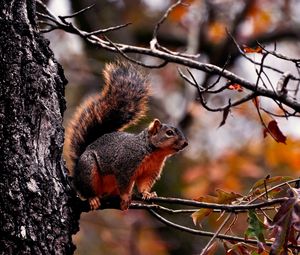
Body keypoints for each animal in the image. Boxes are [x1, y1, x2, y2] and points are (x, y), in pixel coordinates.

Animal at [64, 60, 188, 210]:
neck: (154, 152)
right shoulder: (125, 165)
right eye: (169, 133)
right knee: (86, 188)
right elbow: (124, 183)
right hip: (88, 169)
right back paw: (93, 198)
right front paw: (125, 197)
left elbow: (144, 184)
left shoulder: (150, 171)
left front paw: (147, 194)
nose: (185, 143)